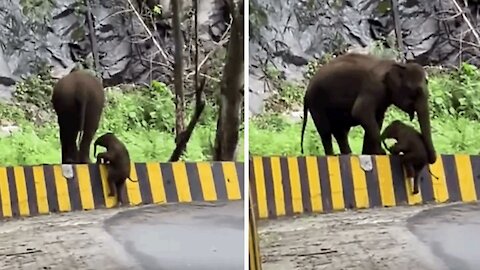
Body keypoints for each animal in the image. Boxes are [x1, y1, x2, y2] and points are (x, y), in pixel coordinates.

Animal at [302, 52, 436, 163]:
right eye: (416, 92)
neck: (398, 65)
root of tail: (306, 91)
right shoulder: (373, 86)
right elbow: (360, 112)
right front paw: (381, 153)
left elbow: (377, 119)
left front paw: (370, 154)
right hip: (316, 104)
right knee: (325, 131)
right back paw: (333, 156)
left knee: (341, 132)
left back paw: (348, 155)